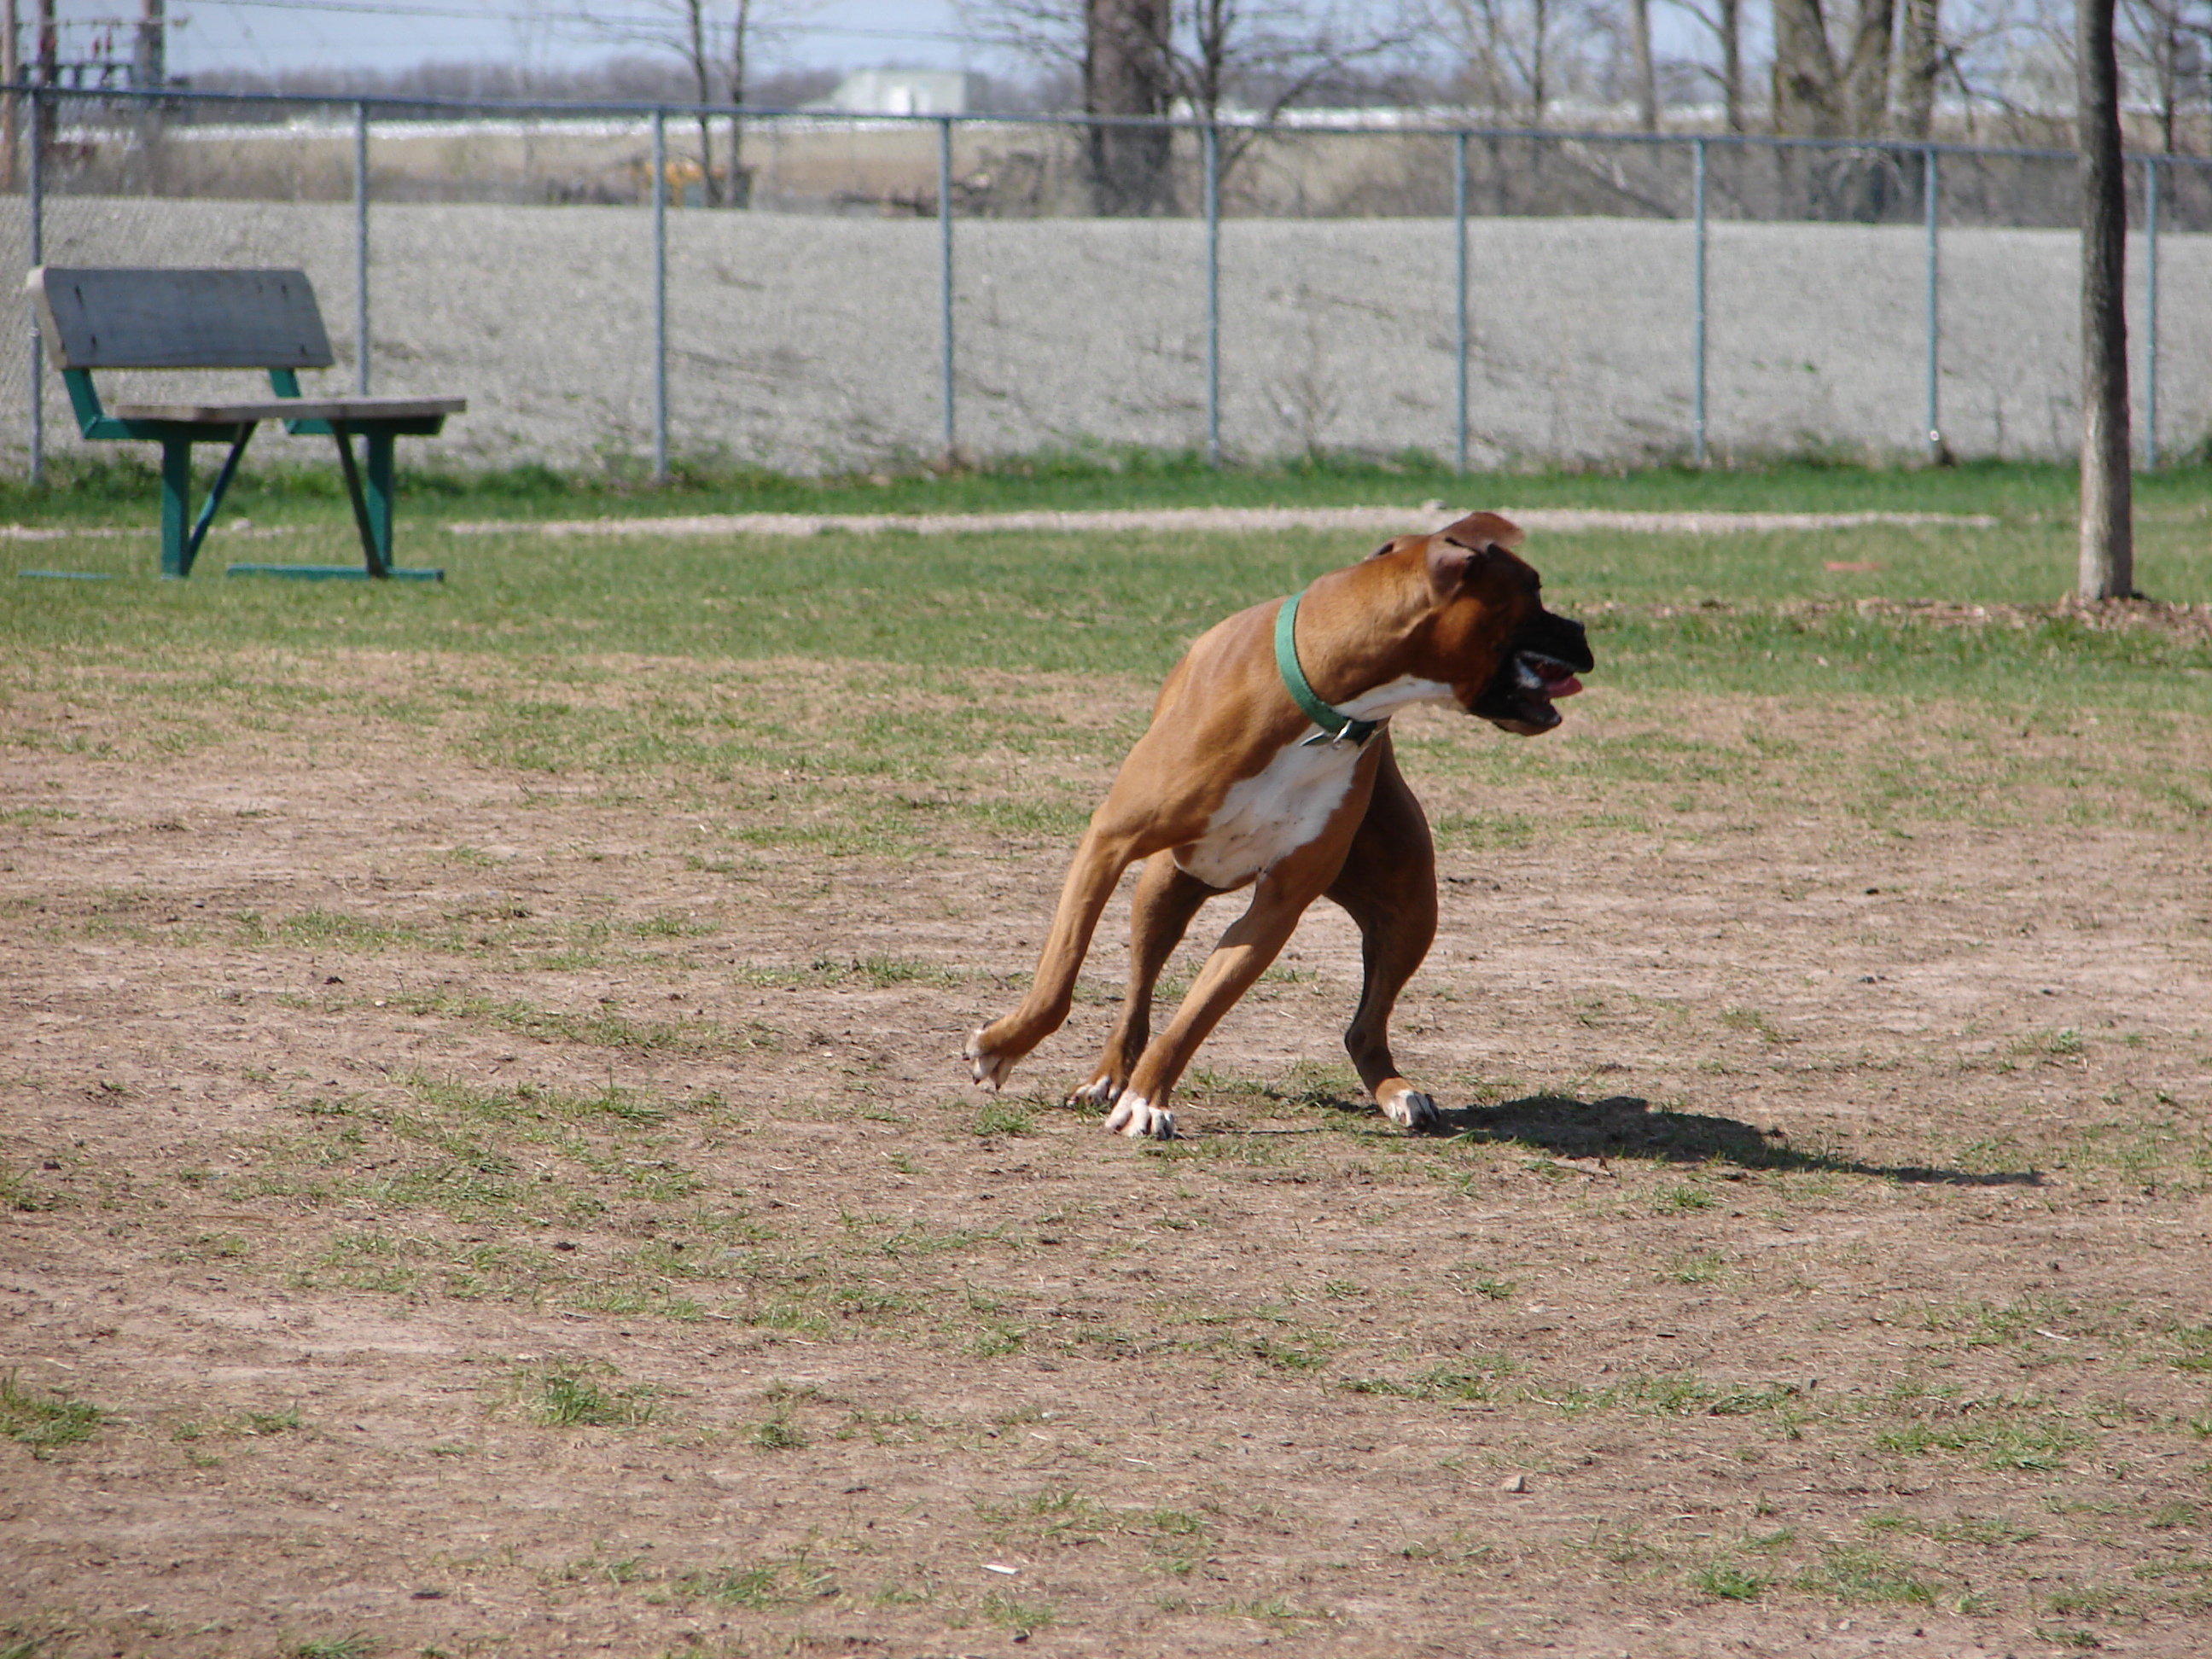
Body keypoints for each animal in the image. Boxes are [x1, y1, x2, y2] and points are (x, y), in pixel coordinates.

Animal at [969, 513, 1592, 1141]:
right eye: (1534, 588)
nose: (1583, 629)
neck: (1329, 701)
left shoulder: (1276, 908)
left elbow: (1197, 1014)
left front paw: (1147, 1098)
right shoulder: (1108, 844)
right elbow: (1059, 978)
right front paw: (1001, 1046)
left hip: (1411, 905)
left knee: (1363, 1029)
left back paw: (1397, 1091)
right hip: (1165, 887)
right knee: (1137, 996)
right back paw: (1107, 1076)